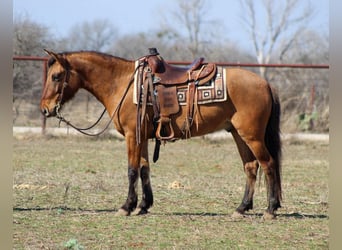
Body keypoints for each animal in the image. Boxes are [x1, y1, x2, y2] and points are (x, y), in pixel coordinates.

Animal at [40, 49, 282, 219]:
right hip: (238, 135)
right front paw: (143, 206)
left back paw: (270, 209)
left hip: (251, 136)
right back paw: (241, 208)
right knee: (251, 167)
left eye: (56, 76)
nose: (45, 109)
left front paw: (126, 206)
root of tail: (266, 84)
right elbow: (144, 169)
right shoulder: (143, 138)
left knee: (268, 164)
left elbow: (132, 170)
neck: (122, 83)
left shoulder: (132, 135)